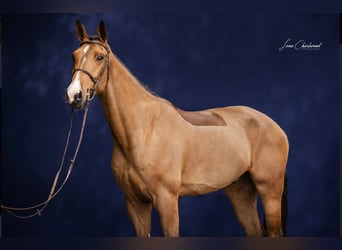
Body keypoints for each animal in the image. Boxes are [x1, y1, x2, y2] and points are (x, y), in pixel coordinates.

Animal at [66, 20, 288, 237]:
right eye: (74, 56)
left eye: (100, 56)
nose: (74, 95)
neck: (144, 129)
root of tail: (274, 125)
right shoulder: (135, 204)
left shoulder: (167, 200)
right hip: (240, 192)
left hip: (270, 191)